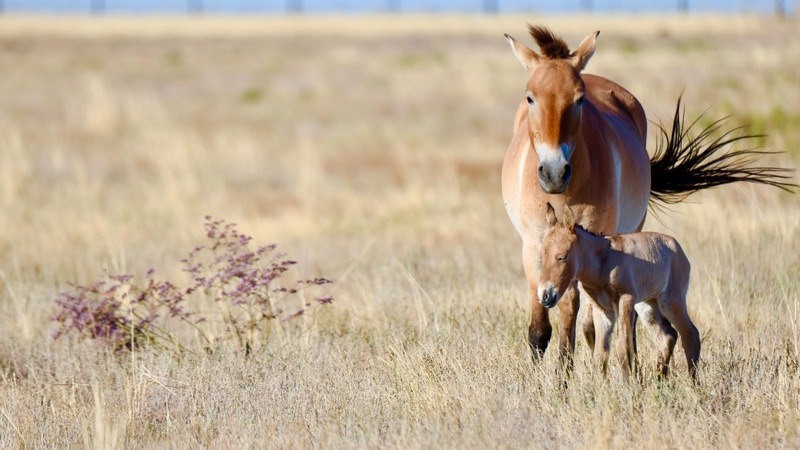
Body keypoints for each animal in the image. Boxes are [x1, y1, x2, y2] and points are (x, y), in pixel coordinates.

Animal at [539, 203, 700, 380]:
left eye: (563, 256)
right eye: (542, 255)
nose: (545, 295)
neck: (603, 262)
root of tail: (677, 249)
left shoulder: (625, 300)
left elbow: (623, 348)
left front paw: (628, 386)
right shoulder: (603, 310)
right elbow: (600, 355)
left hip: (671, 302)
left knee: (690, 335)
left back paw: (693, 383)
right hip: (648, 306)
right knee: (667, 337)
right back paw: (661, 382)